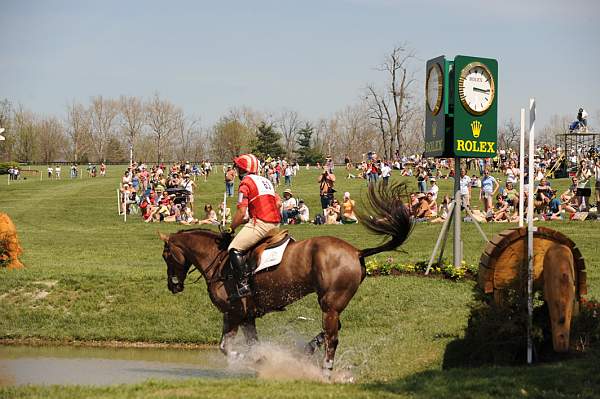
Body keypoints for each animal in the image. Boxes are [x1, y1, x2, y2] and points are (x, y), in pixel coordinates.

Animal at [159, 183, 412, 374]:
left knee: (333, 337)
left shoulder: (234, 313)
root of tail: (356, 252)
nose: (173, 286)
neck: (218, 259)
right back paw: (308, 349)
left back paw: (325, 371)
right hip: (334, 304)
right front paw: (260, 359)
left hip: (329, 304)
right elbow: (250, 344)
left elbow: (225, 347)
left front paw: (252, 359)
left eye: (165, 256)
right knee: (332, 330)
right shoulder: (246, 317)